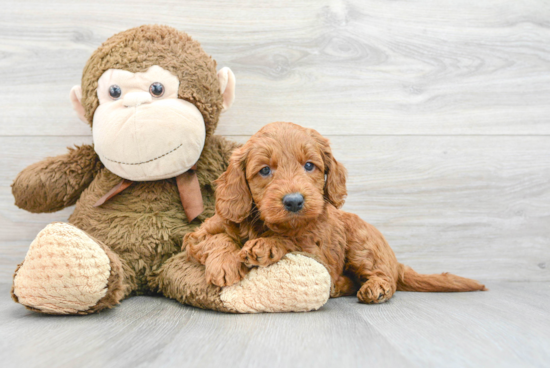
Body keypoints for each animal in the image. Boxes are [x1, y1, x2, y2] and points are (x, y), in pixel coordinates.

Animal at [187, 122, 488, 304]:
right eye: (264, 170)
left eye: (310, 165)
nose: (294, 201)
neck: (267, 223)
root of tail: (395, 260)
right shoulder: (198, 235)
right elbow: (216, 239)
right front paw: (225, 264)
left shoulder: (319, 248)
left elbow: (293, 240)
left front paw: (265, 245)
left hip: (361, 243)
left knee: (383, 276)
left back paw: (374, 288)